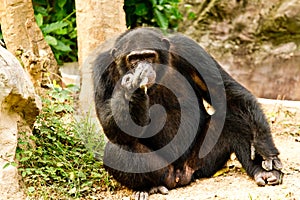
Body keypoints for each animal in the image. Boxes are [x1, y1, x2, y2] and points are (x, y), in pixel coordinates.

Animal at [92, 27, 282, 199]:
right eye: (133, 59)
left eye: (149, 56)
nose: (143, 67)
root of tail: (179, 175)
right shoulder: (102, 70)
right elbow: (109, 124)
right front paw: (133, 88)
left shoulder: (191, 51)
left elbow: (227, 94)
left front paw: (265, 150)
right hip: (162, 170)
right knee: (117, 149)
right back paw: (149, 187)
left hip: (202, 161)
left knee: (234, 121)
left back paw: (263, 172)